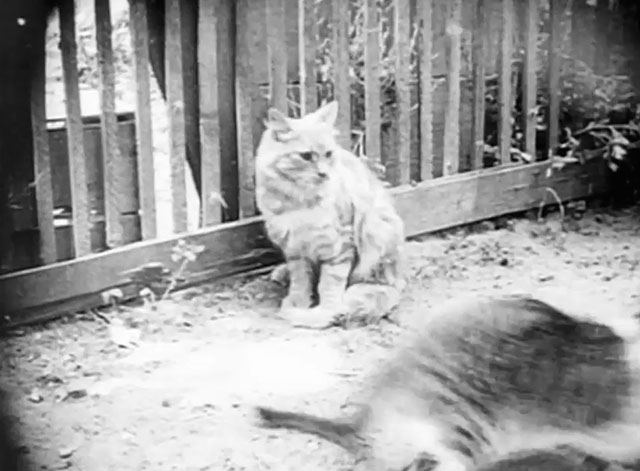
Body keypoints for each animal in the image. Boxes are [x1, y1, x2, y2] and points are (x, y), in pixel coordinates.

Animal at [255, 100, 404, 328]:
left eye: (328, 154)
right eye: (306, 156)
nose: (323, 173)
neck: (298, 200)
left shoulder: (339, 244)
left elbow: (329, 284)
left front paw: (325, 311)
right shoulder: (294, 248)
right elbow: (301, 281)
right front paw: (298, 302)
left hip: (377, 238)